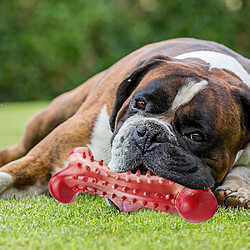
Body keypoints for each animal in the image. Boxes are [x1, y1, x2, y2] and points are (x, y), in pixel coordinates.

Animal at [0, 38, 250, 208]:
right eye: (139, 103)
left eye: (196, 136)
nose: (149, 132)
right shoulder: (44, 160)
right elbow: (11, 174)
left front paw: (238, 188)